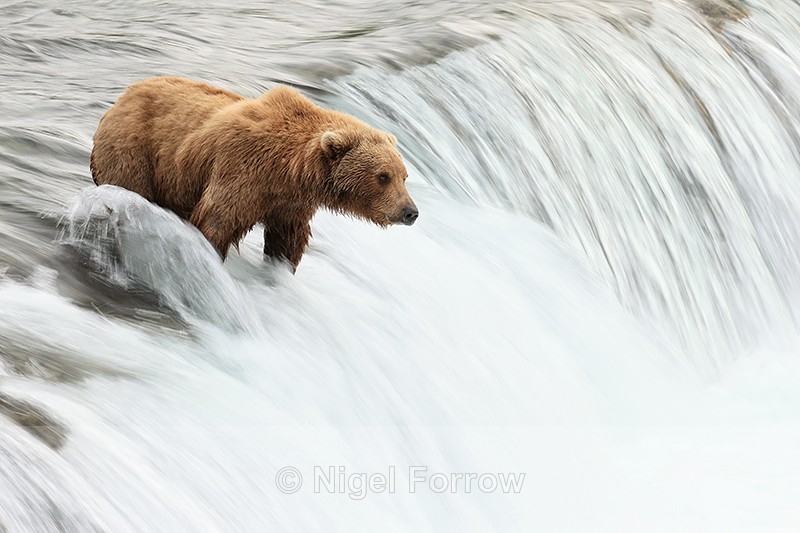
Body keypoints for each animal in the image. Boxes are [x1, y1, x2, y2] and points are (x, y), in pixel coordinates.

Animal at [90, 76, 418, 270]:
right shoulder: (241, 171)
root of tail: (121, 97)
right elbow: (216, 221)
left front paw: (281, 267)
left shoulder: (289, 203)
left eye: (404, 175)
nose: (410, 211)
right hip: (133, 150)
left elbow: (288, 238)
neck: (292, 169)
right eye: (383, 176)